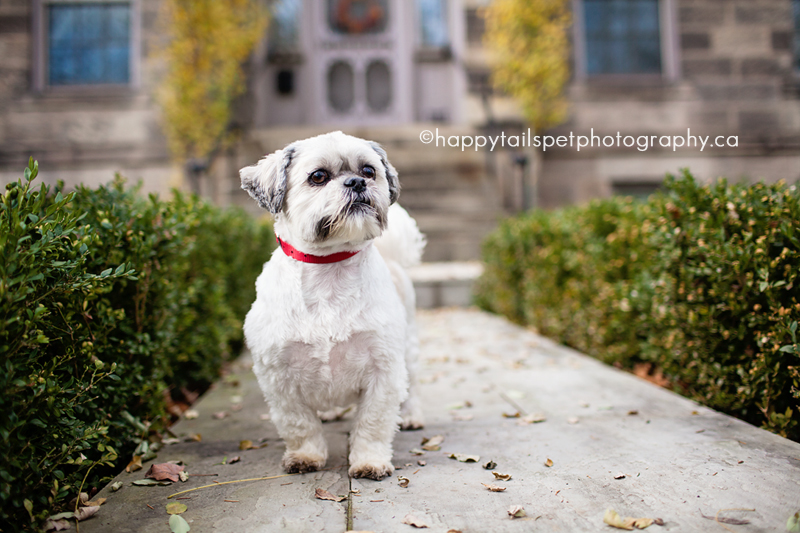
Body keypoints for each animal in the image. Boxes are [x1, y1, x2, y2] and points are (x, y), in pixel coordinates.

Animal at [238, 131, 424, 480]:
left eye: (369, 171)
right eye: (318, 177)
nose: (357, 182)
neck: (330, 267)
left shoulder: (383, 368)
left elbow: (373, 422)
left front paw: (369, 461)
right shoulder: (278, 375)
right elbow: (299, 423)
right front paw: (306, 456)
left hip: (408, 347)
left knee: (413, 384)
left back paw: (410, 415)